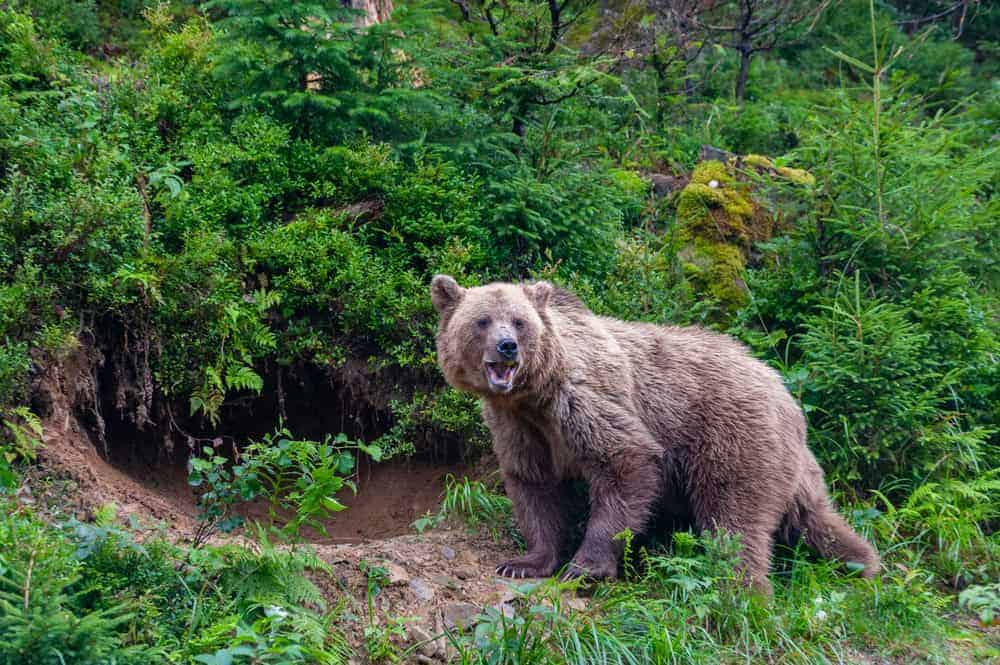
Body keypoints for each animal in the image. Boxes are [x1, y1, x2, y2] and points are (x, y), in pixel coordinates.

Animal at [430, 274, 880, 593]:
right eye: (482, 320)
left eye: (519, 322)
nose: (507, 346)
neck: (534, 394)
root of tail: (783, 390)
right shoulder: (520, 426)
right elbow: (534, 487)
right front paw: (525, 561)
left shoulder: (583, 403)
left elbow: (626, 463)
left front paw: (586, 567)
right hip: (791, 464)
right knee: (814, 516)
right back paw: (862, 563)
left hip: (732, 438)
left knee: (735, 519)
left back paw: (742, 591)